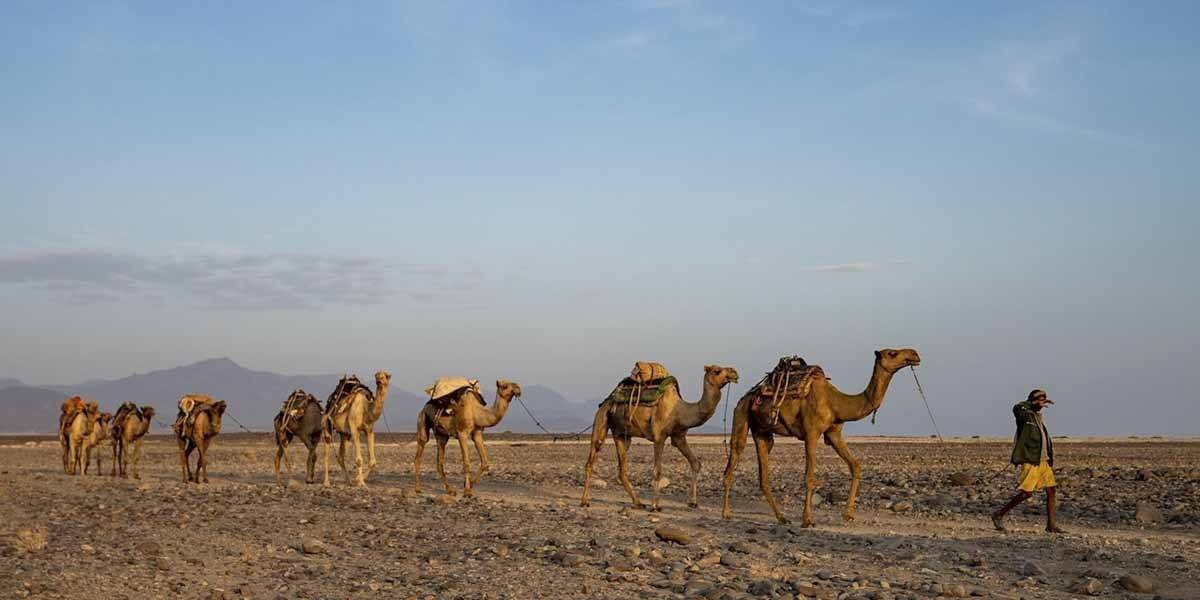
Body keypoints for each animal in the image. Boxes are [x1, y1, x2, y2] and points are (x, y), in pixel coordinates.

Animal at [580, 362, 739, 513]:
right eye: (717, 371)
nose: (734, 372)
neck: (680, 411)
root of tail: (607, 400)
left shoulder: (679, 436)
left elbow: (695, 463)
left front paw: (693, 502)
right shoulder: (659, 436)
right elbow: (657, 469)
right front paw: (655, 505)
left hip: (621, 435)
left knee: (622, 468)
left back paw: (638, 503)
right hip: (601, 419)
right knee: (592, 457)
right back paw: (584, 501)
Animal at [715, 348, 921, 525]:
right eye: (892, 353)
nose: (914, 354)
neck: (835, 402)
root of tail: (747, 396)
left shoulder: (834, 433)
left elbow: (855, 466)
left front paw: (848, 514)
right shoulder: (811, 433)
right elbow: (809, 477)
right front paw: (807, 520)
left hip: (762, 432)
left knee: (763, 476)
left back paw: (782, 518)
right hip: (741, 416)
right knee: (734, 457)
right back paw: (726, 513)